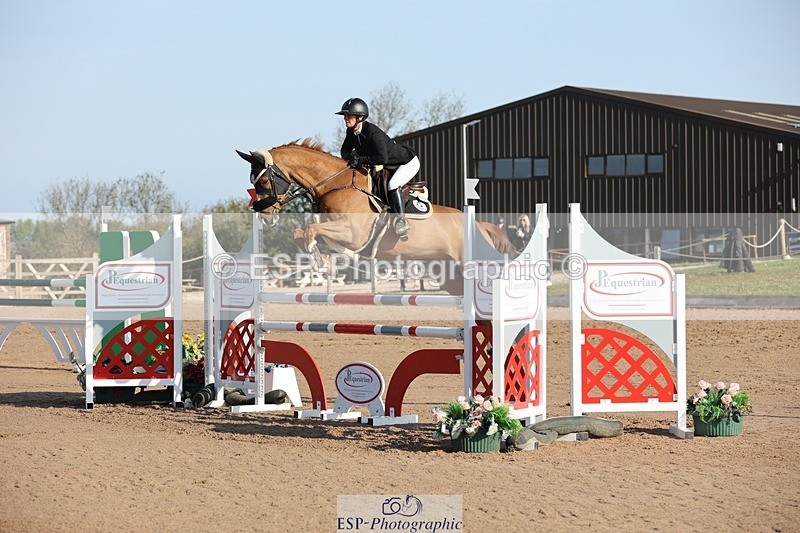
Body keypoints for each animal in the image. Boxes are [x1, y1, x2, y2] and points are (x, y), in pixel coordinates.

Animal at [237, 138, 515, 296]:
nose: (265, 216)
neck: (334, 183)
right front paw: (325, 261)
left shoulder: (353, 232)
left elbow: (310, 232)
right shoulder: (337, 228)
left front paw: (320, 260)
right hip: (449, 275)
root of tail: (480, 226)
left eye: (263, 180)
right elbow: (302, 234)